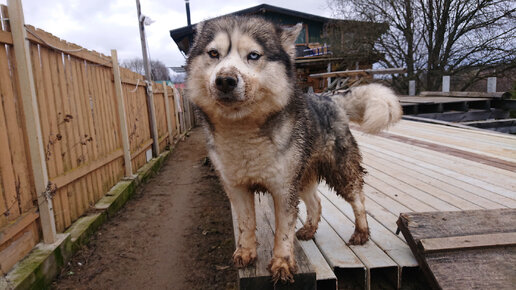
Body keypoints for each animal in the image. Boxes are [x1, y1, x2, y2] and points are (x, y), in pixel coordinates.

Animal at [185, 15, 404, 284]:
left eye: (254, 55)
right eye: (213, 53)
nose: (225, 80)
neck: (243, 131)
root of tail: (331, 98)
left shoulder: (283, 189)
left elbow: (283, 231)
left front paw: (282, 263)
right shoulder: (237, 188)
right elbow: (246, 223)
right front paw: (246, 252)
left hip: (339, 171)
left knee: (358, 199)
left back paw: (361, 232)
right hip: (303, 175)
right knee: (316, 202)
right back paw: (310, 228)